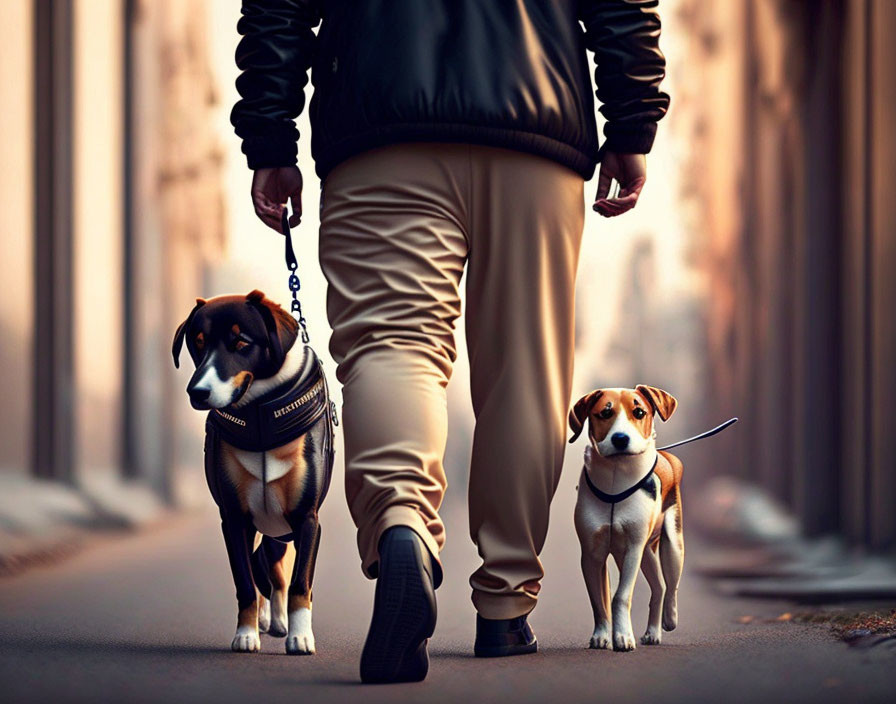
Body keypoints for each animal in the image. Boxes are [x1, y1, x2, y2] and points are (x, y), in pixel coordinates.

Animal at [172, 288, 336, 652]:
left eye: (241, 342)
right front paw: (245, 634)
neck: (260, 412)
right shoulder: (234, 518)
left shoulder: (307, 518)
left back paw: (281, 622)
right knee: (263, 576)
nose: (197, 392)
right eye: (198, 343)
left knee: (278, 577)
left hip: (279, 534)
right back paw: (264, 620)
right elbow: (245, 583)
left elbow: (300, 583)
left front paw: (300, 636)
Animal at [572, 388, 684, 652]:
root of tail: (668, 458)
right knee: (658, 587)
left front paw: (623, 636)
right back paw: (652, 632)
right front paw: (602, 635)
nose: (621, 438)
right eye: (605, 413)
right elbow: (598, 599)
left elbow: (621, 596)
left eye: (639, 412)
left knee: (671, 585)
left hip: (671, 545)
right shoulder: (592, 553)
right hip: (643, 554)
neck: (616, 480)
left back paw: (669, 619)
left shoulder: (633, 547)